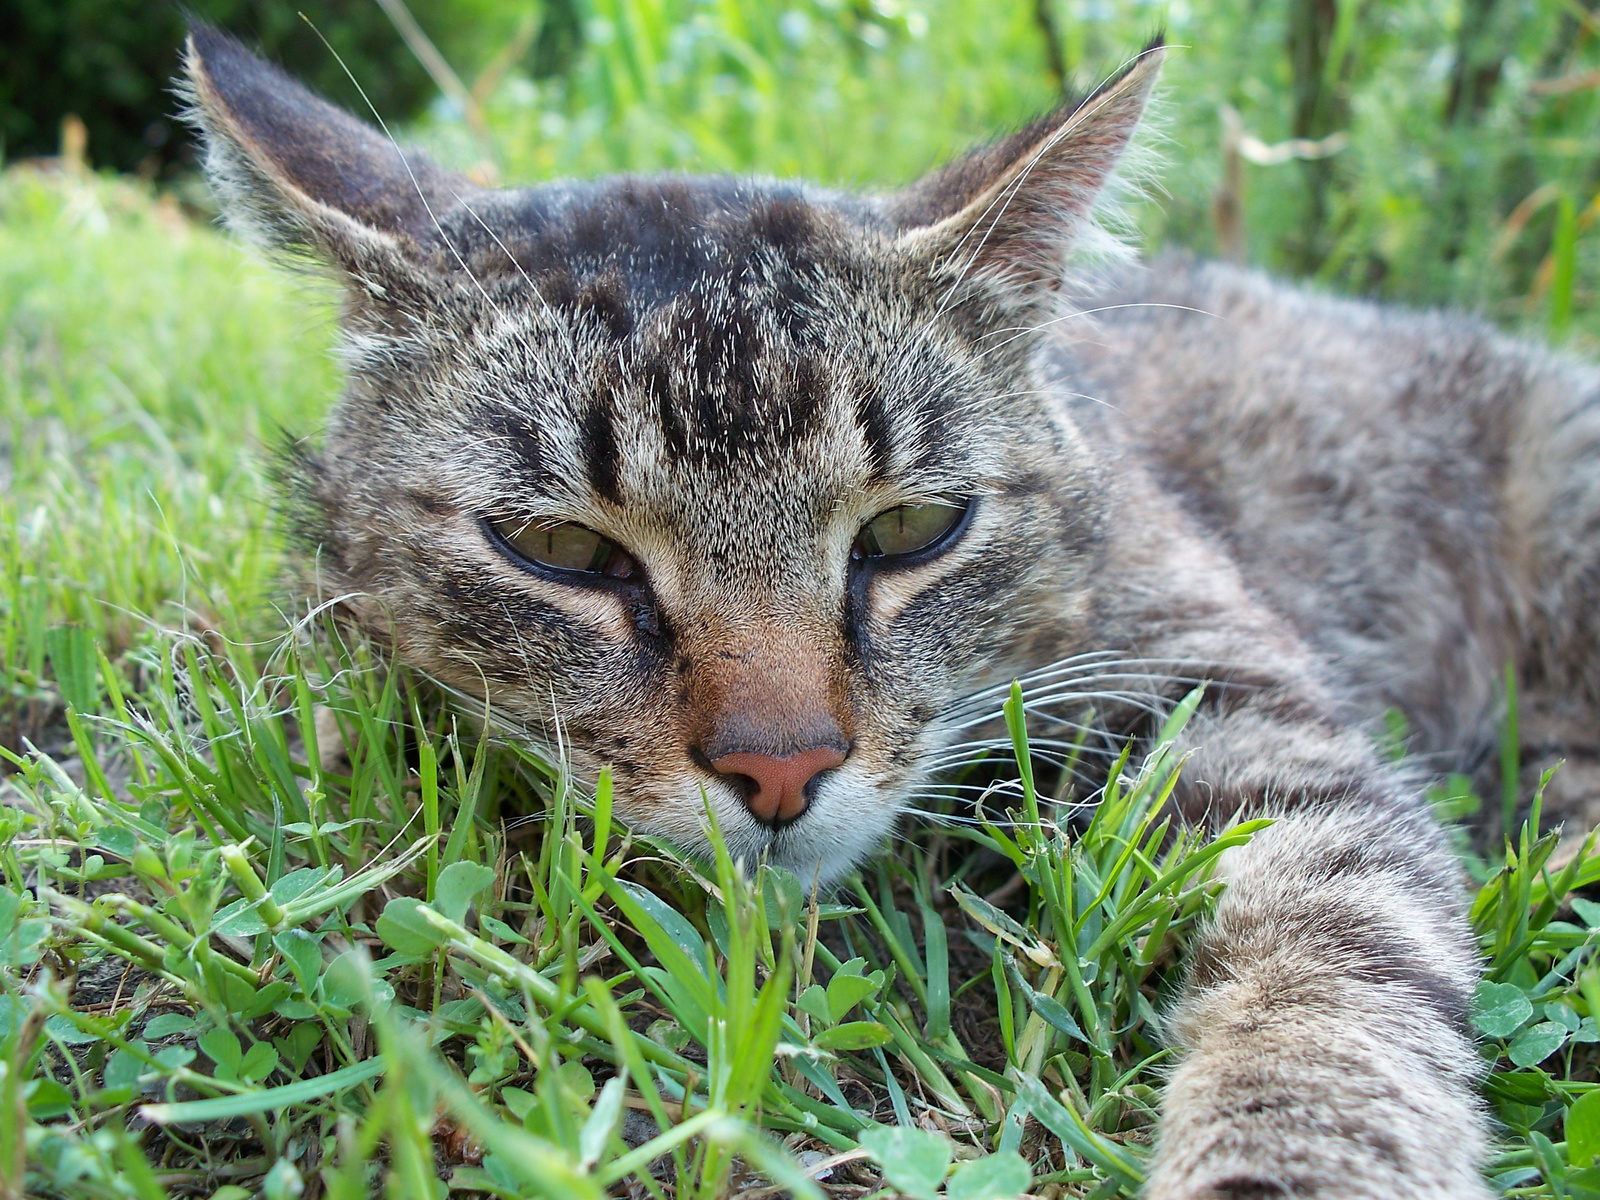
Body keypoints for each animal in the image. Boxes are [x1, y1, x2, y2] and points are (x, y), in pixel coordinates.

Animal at [181, 21, 1600, 1200]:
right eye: (559, 548)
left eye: (914, 530)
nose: (781, 767)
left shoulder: (1243, 705)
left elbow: (1331, 967)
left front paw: (1284, 1167)